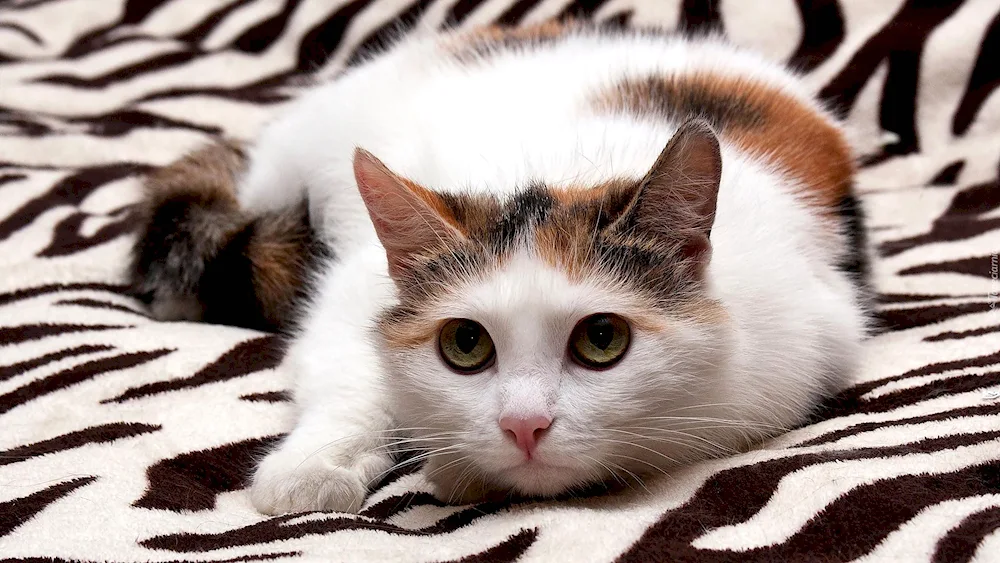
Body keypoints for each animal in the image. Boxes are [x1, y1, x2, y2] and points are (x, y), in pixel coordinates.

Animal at [131, 20, 868, 516]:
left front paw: (460, 469)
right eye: (466, 344)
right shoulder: (351, 293)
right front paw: (313, 467)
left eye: (603, 339)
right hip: (290, 162)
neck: (560, 171)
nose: (523, 426)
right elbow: (348, 377)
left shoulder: (800, 352)